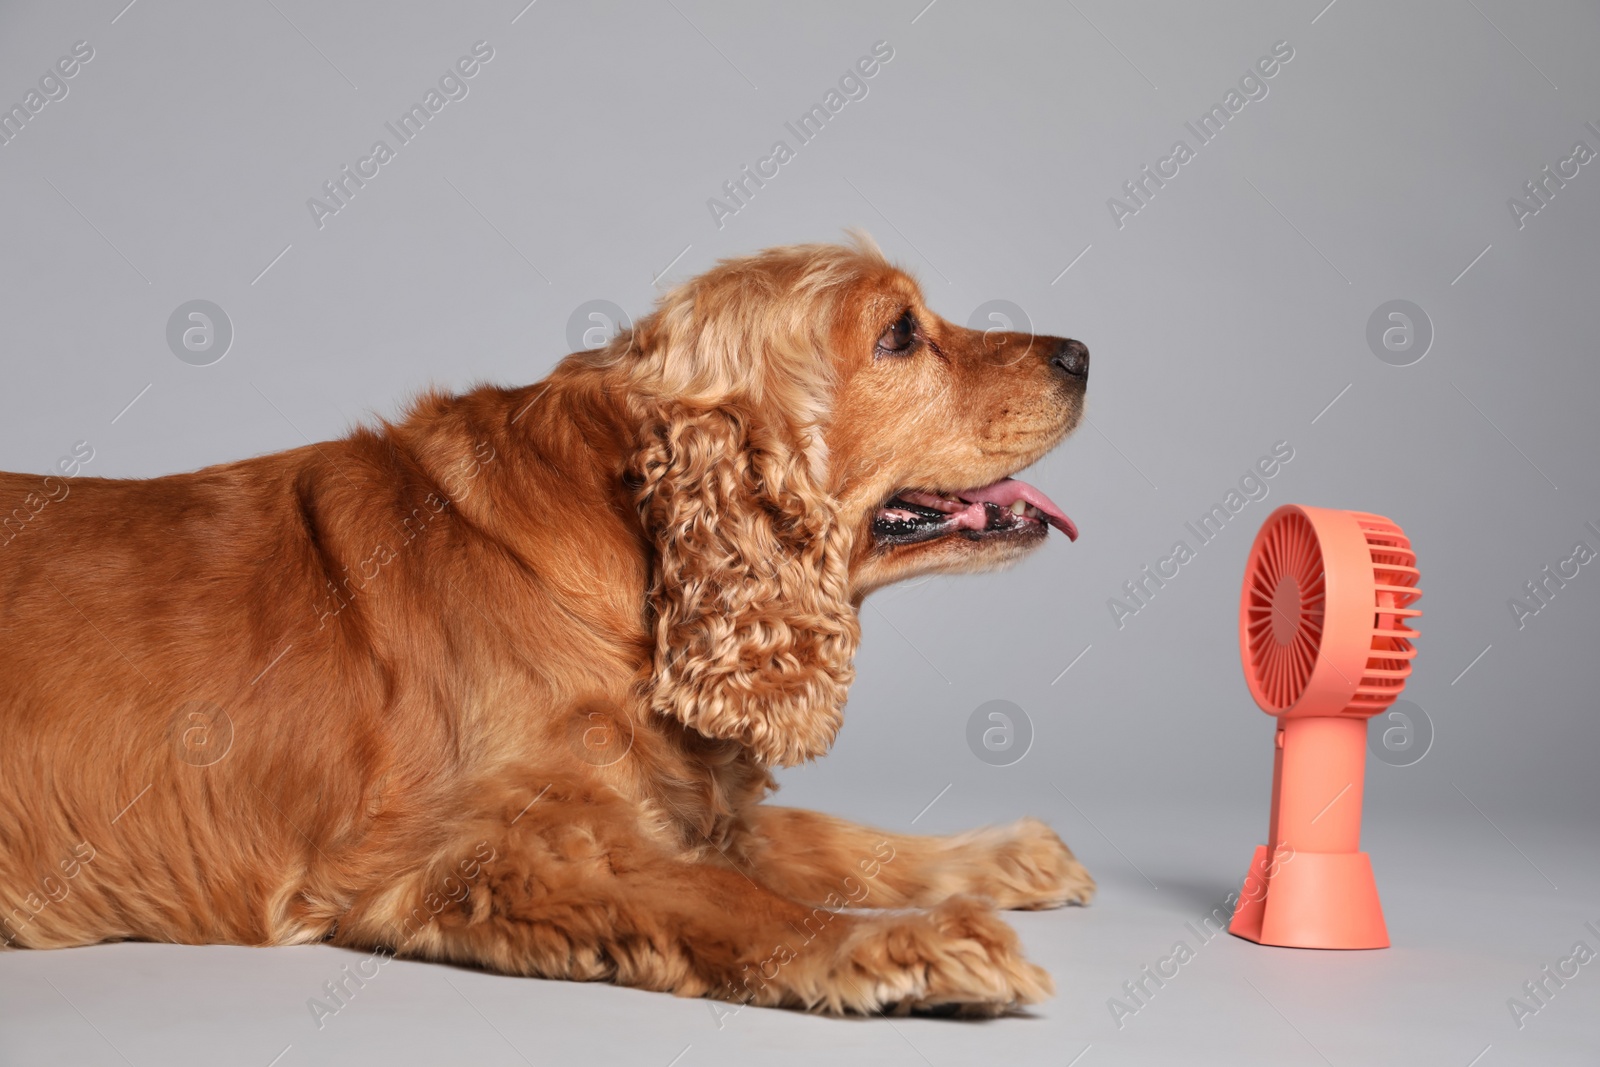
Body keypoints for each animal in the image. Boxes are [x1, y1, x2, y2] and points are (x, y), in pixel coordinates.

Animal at [0, 235, 1094, 1017]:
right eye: (899, 333)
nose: (1081, 350)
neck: (628, 550)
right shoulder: (487, 851)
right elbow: (737, 896)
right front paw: (909, 941)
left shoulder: (669, 795)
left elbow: (811, 836)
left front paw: (1001, 855)